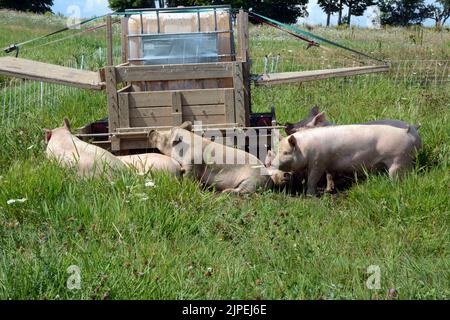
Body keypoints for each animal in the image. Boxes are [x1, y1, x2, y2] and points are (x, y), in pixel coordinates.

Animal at [150, 127, 288, 195]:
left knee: (244, 191)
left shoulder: (192, 163)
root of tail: (269, 179)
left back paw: (225, 192)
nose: (152, 131)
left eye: (165, 135)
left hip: (252, 180)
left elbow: (189, 177)